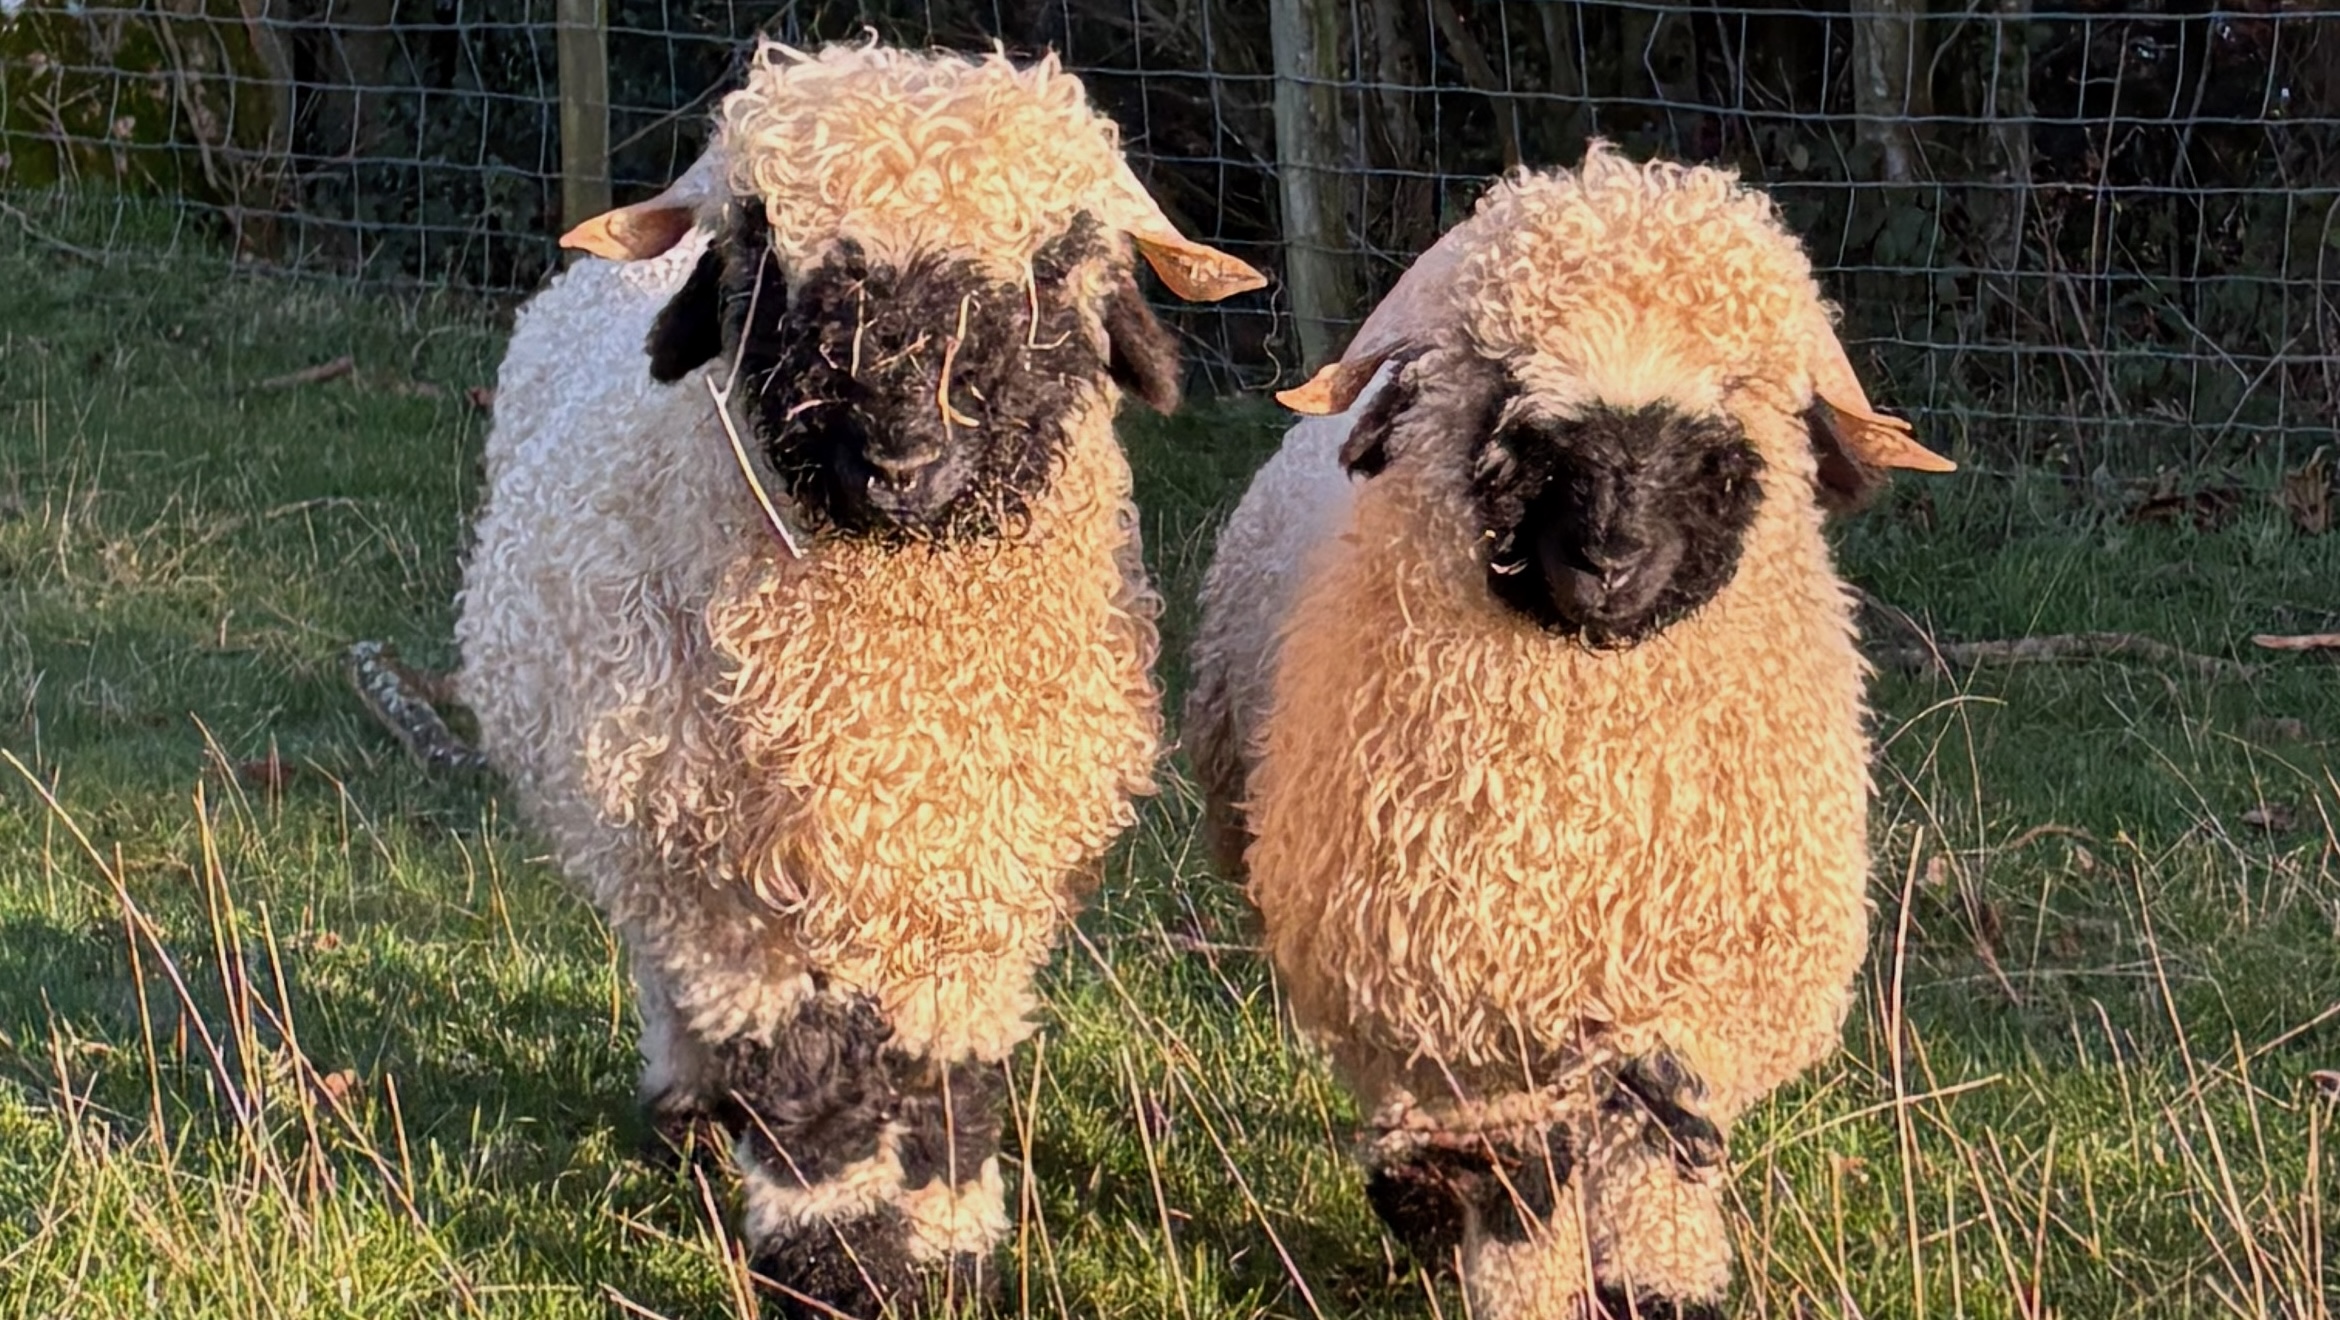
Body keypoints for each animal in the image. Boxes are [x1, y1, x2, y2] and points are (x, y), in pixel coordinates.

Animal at [454, 39, 1263, 1318]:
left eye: (1053, 266)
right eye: (767, 253)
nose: (901, 458)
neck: (885, 704)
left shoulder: (976, 883)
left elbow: (943, 1085)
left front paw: (946, 1250)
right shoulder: (727, 888)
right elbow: (809, 1090)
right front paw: (837, 1264)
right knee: (663, 970)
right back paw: (689, 1105)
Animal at [1184, 142, 1952, 1319]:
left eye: (1721, 433)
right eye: (1518, 419)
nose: (1610, 561)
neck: (1585, 795)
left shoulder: (1710, 979)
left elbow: (1659, 1133)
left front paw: (1658, 1282)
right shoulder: (1460, 992)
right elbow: (1518, 1183)